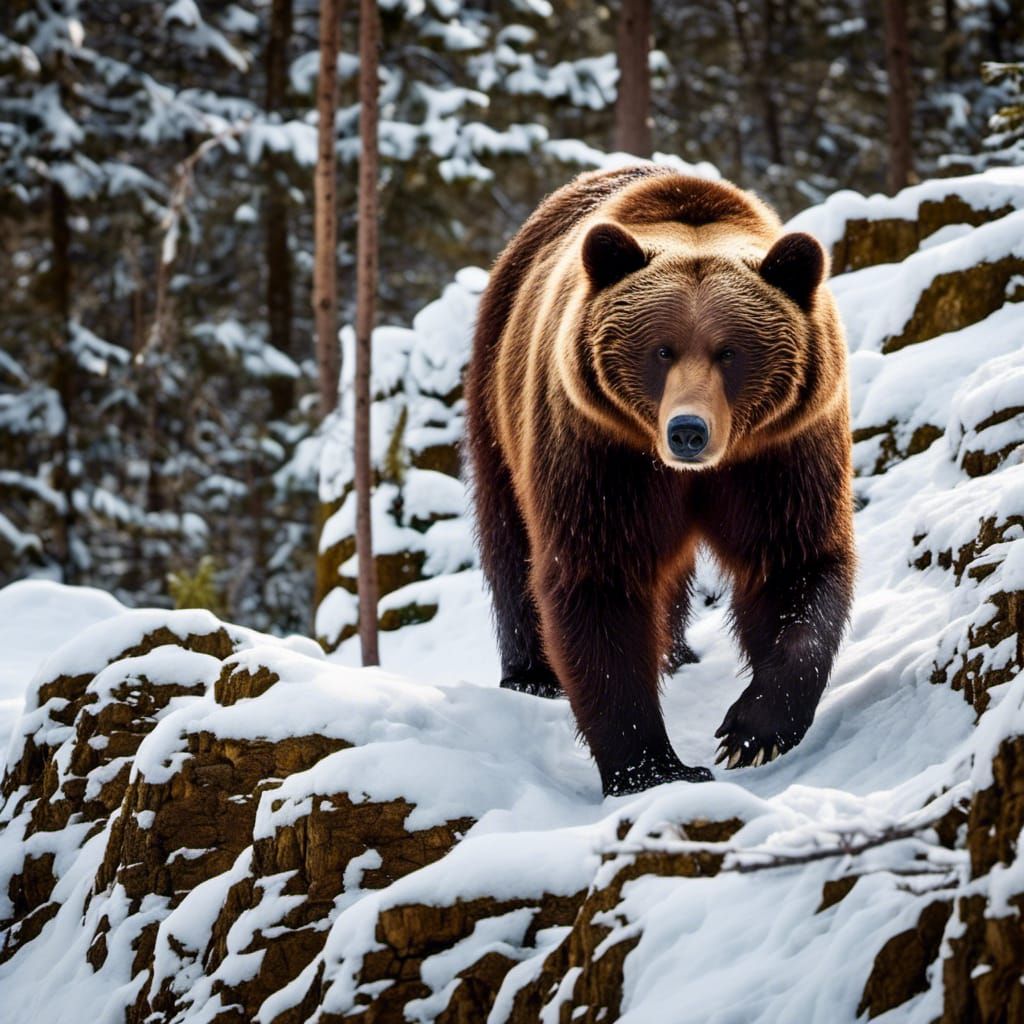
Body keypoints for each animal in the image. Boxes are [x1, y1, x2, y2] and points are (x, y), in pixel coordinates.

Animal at [464, 165, 855, 796]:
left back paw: (676, 653)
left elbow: (795, 564)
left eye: (730, 352)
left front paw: (752, 730)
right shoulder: (604, 453)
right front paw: (654, 768)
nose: (688, 431)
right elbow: (599, 580)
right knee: (509, 537)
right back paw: (531, 673)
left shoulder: (782, 451)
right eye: (660, 350)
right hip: (500, 401)